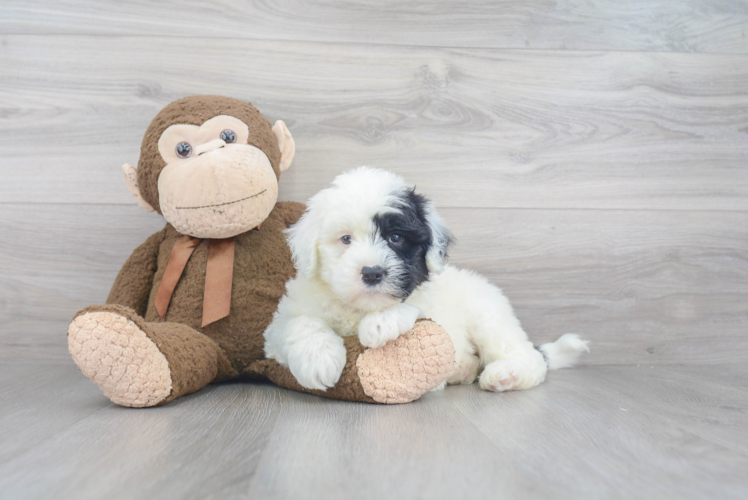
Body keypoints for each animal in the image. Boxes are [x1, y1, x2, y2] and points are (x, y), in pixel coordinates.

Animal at [264, 169, 592, 394]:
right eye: (345, 239)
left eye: (396, 238)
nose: (372, 273)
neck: (358, 309)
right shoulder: (277, 329)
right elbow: (301, 324)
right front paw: (319, 361)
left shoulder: (430, 305)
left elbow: (414, 309)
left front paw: (379, 325)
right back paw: (463, 370)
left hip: (489, 319)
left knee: (531, 358)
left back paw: (505, 375)